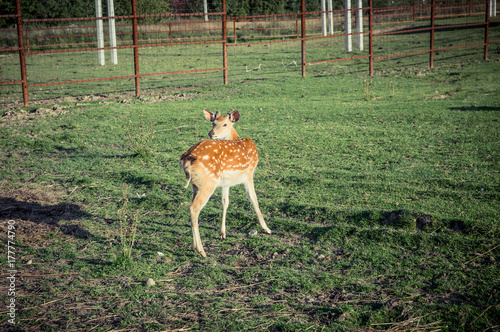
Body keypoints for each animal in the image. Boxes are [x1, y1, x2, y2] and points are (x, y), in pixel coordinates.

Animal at [182, 109, 272, 256]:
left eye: (224, 124)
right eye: (213, 122)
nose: (211, 133)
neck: (236, 137)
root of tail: (187, 158)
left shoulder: (225, 183)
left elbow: (225, 202)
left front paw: (222, 233)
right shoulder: (249, 174)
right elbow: (254, 199)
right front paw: (266, 228)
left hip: (196, 185)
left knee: (191, 206)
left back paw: (195, 247)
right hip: (208, 183)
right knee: (194, 208)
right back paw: (201, 250)